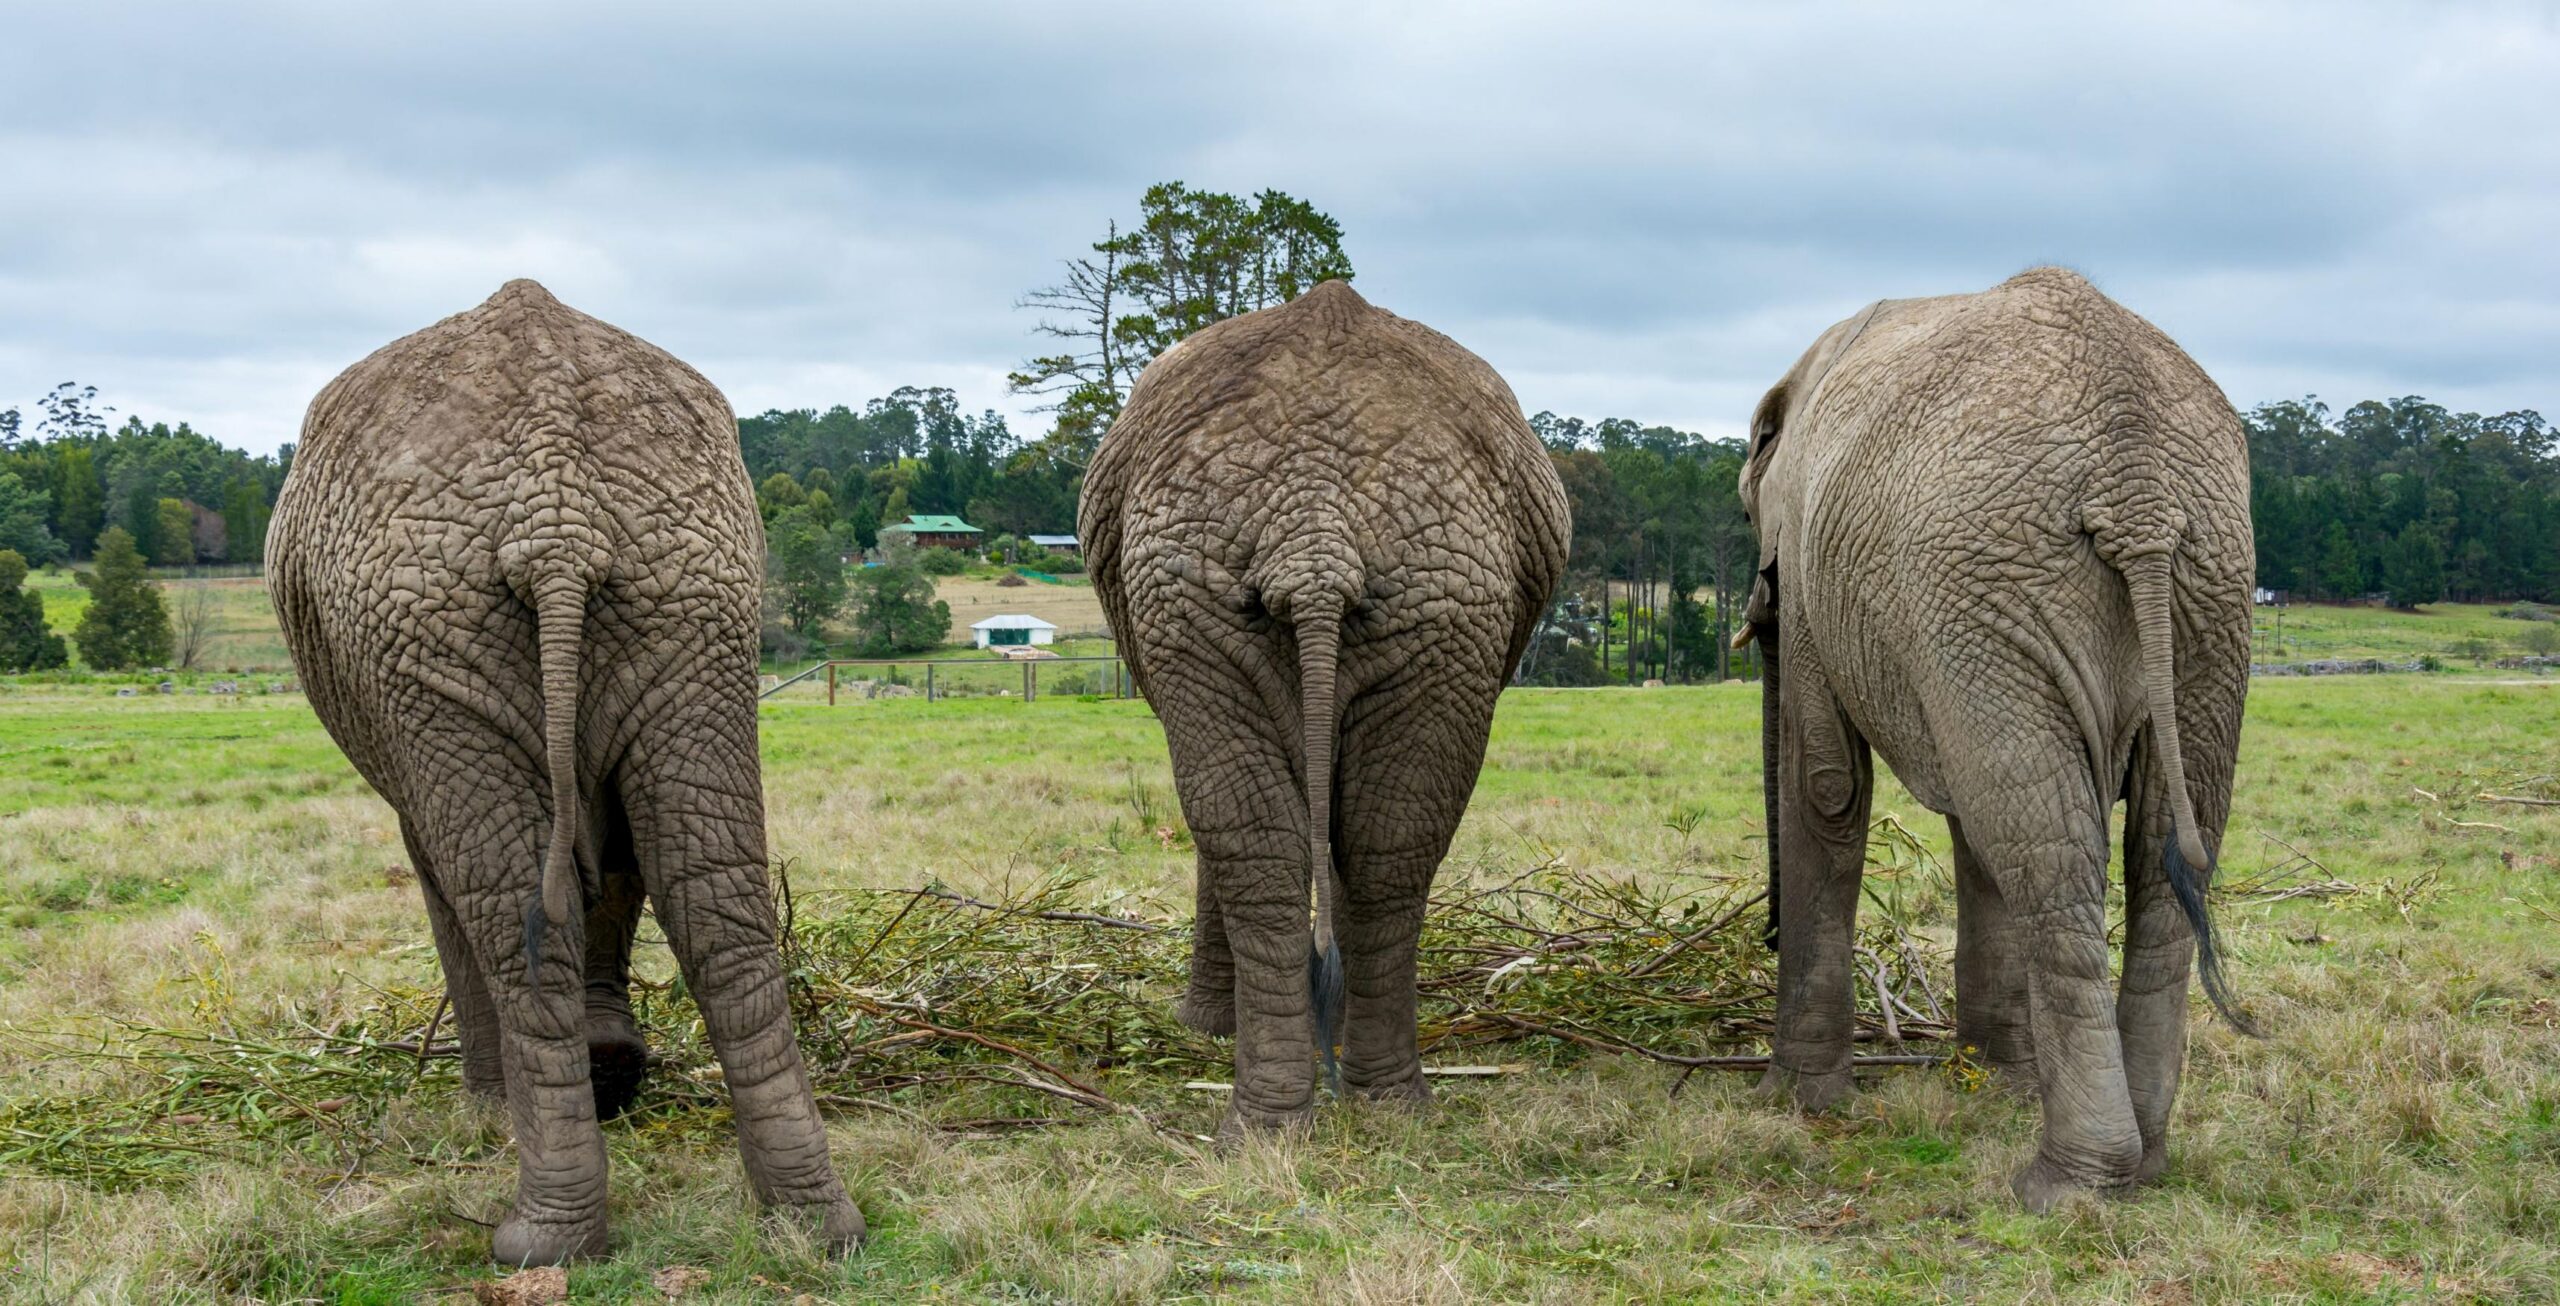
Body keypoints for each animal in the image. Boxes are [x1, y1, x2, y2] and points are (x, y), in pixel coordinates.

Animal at [268, 280, 862, 1263]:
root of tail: (559, 519)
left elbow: (453, 872)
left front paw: (493, 1105)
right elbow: (617, 862)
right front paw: (612, 1070)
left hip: (426, 626)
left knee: (511, 910)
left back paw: (538, 1239)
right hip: (690, 596)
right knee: (713, 896)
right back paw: (814, 1223)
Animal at [1081, 281, 1570, 1135]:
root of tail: (1313, 532)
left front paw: (1212, 1029)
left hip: (1243, 584)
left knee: (1284, 831)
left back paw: (1300, 1108)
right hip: (1429, 597)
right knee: (1376, 835)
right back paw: (1350, 1109)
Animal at [1734, 267, 2254, 1211]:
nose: (1765, 936)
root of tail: (2137, 485)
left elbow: (1829, 786)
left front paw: (1796, 1103)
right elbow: (1972, 817)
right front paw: (1992, 1083)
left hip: (1995, 584)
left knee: (2051, 856)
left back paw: (2065, 1185)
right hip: (2200, 600)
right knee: (2152, 847)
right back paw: (2144, 1163)